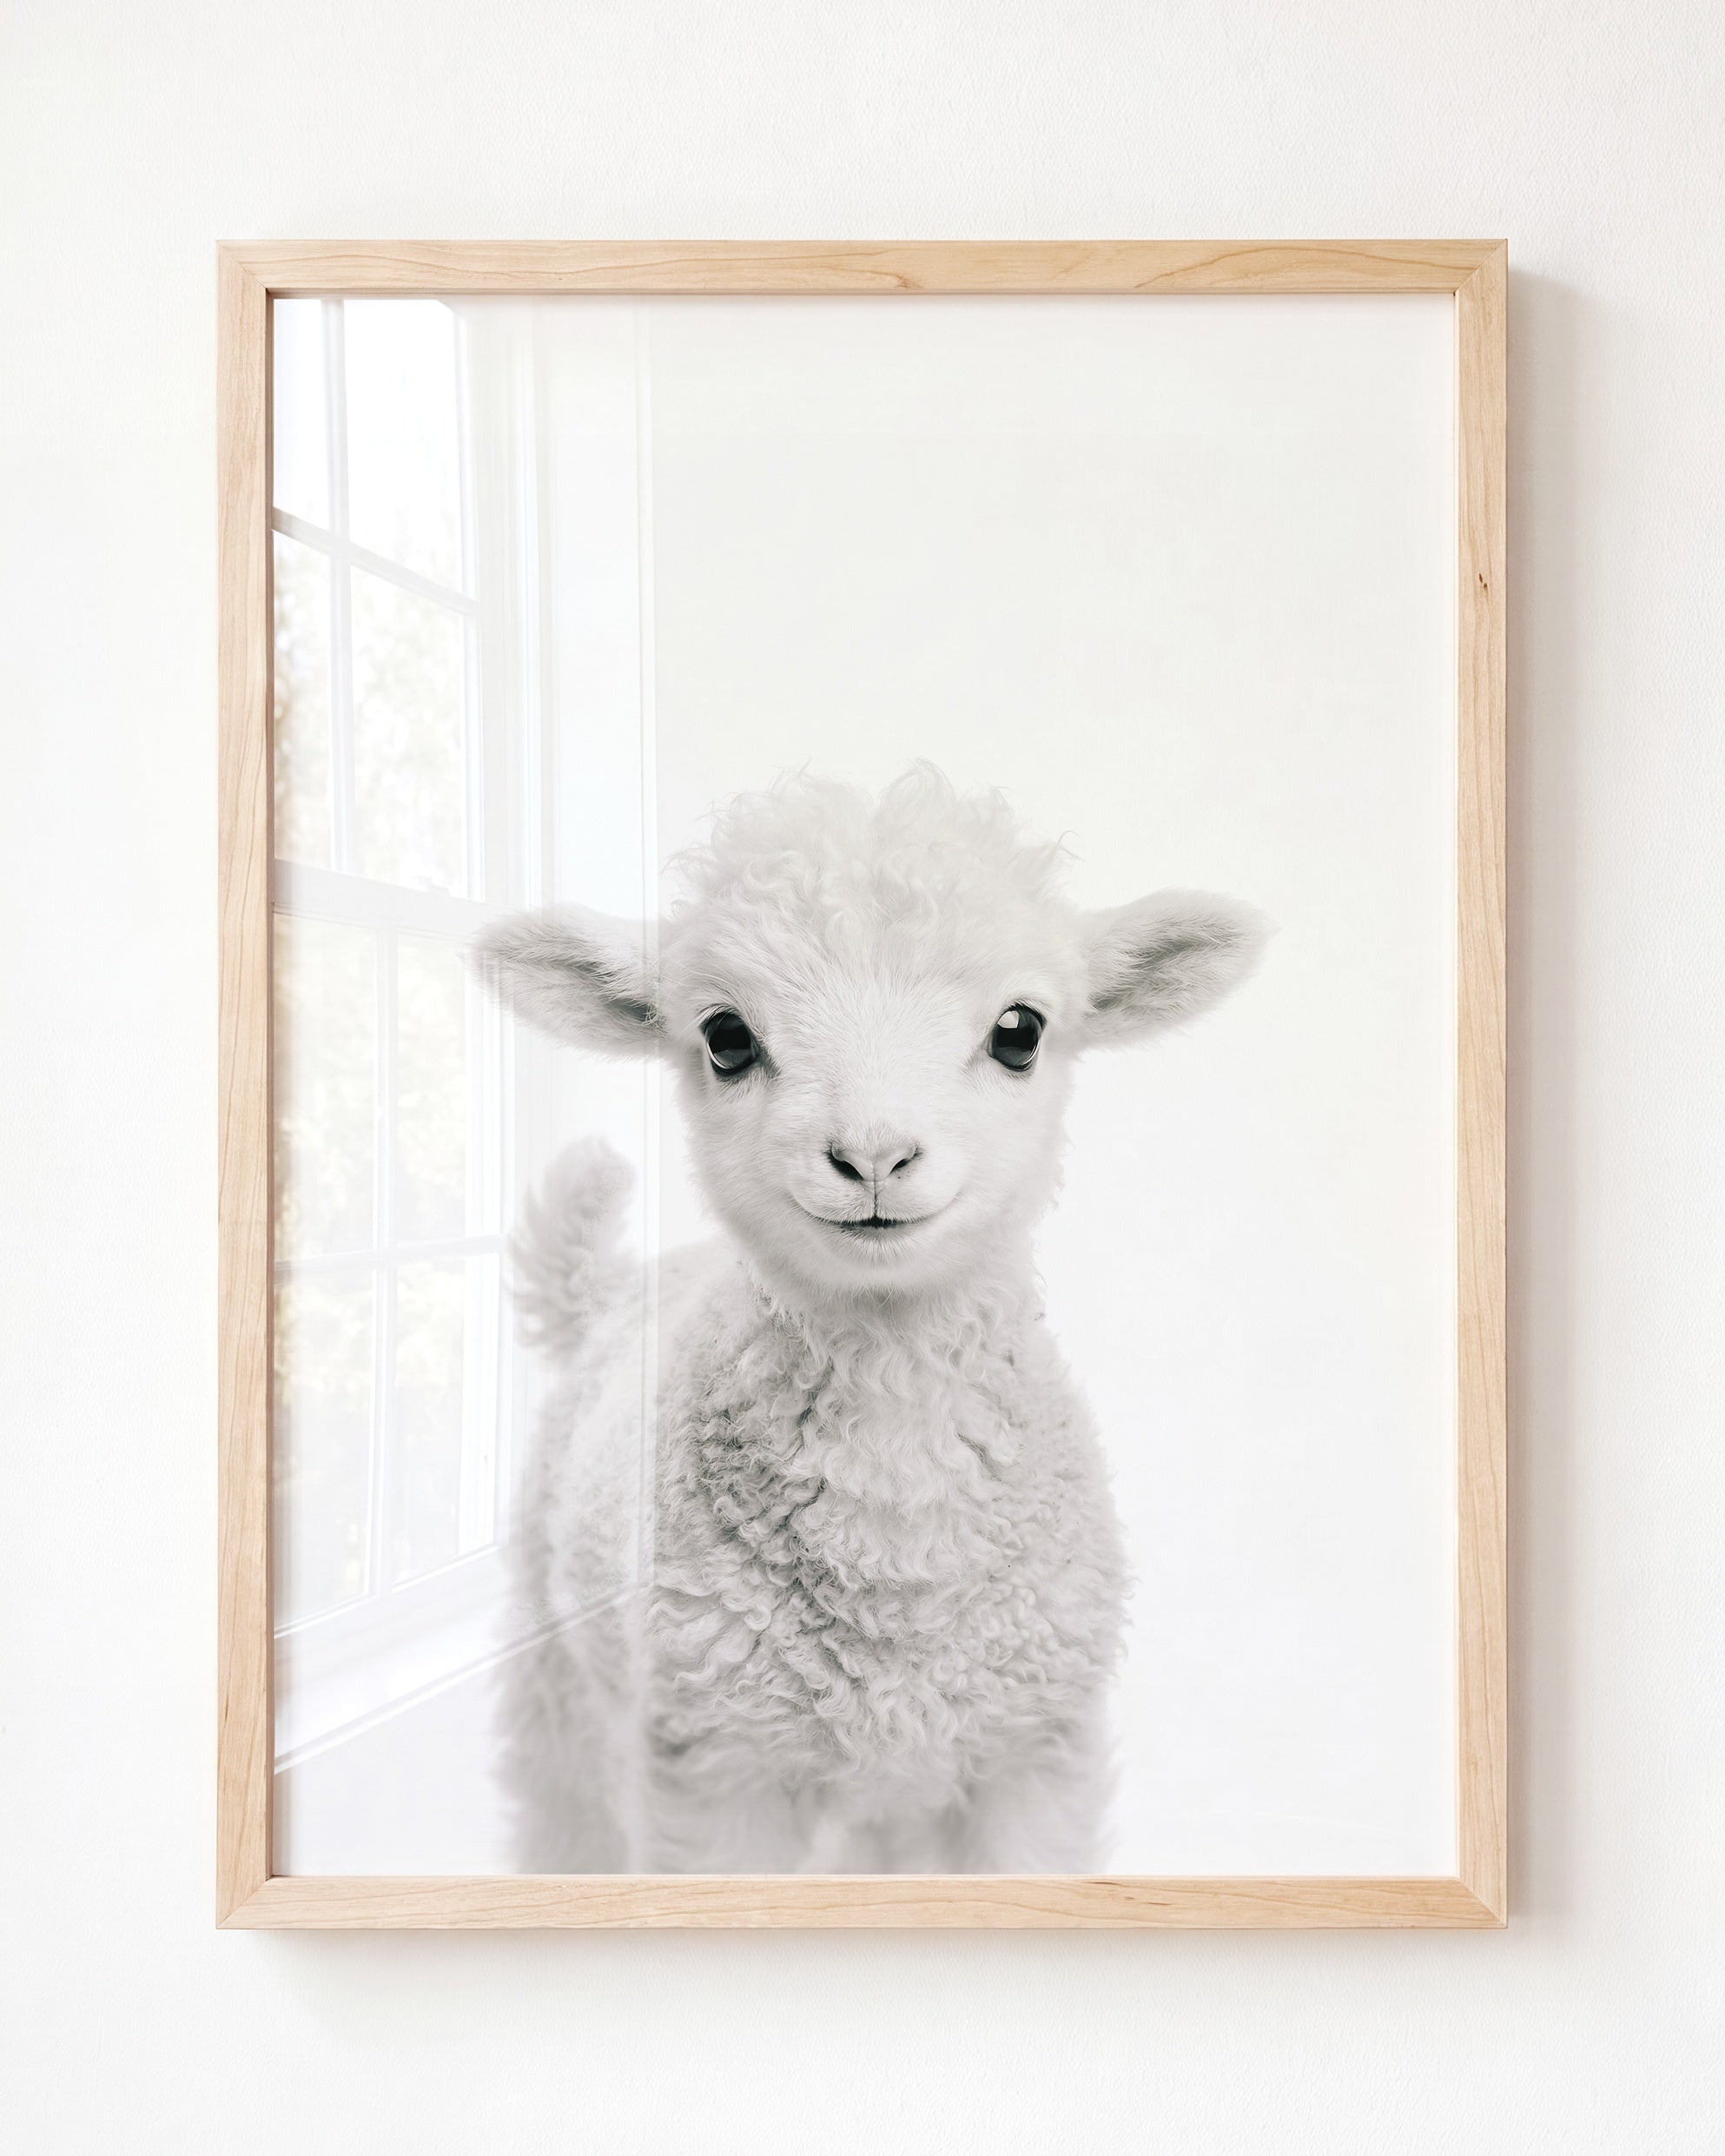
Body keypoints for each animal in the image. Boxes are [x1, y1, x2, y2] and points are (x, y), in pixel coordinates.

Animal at [474, 764, 1263, 1873]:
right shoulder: (718, 1771)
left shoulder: (1031, 1759)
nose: (874, 1156)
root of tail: (617, 1287)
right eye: (726, 1037)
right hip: (561, 1692)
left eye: (1020, 1031)